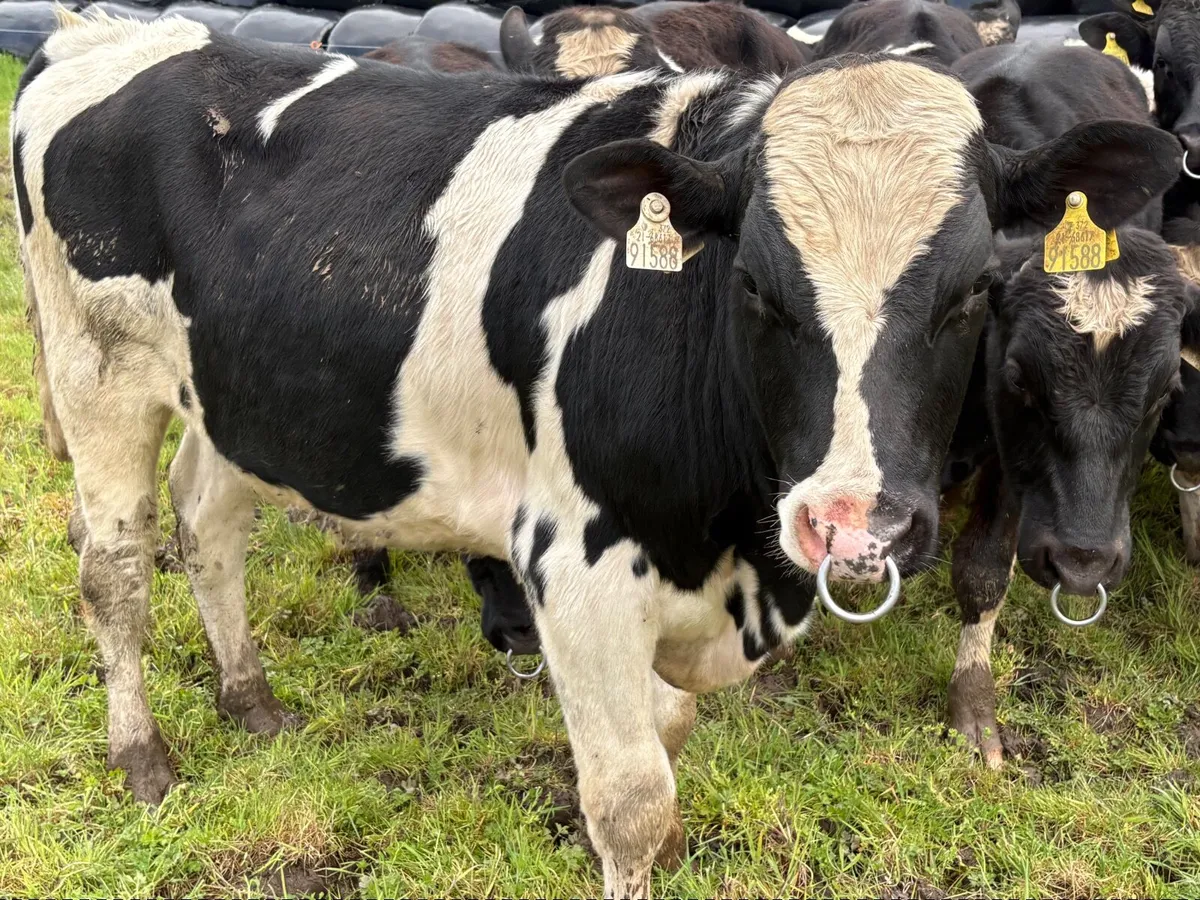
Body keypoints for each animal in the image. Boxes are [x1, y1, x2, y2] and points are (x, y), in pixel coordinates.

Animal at [943, 41, 1188, 766]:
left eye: (1167, 391)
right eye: (1021, 377)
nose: (1084, 564)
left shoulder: (1008, 466)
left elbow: (982, 569)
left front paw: (974, 705)